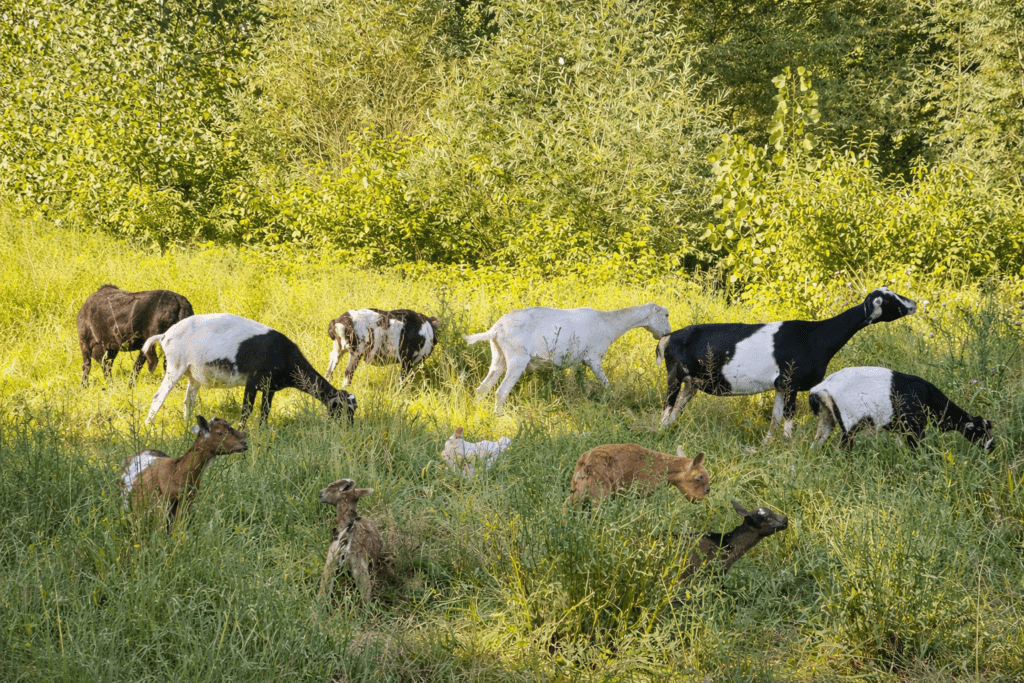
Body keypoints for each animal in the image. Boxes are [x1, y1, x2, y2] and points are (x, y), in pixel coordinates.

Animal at [142, 313, 356, 426]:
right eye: (343, 409)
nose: (349, 428)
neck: (284, 355)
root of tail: (164, 335)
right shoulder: (252, 381)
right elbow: (246, 409)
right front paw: (242, 431)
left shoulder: (270, 387)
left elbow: (265, 411)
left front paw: (263, 431)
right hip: (175, 365)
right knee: (159, 396)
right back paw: (148, 425)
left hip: (193, 374)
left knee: (188, 400)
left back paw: (187, 425)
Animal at [464, 303, 672, 413]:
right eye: (666, 314)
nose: (668, 332)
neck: (607, 324)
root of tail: (495, 330)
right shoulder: (593, 358)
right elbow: (605, 383)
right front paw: (612, 400)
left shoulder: (577, 362)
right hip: (517, 358)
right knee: (501, 391)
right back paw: (498, 415)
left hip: (499, 356)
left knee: (482, 389)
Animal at [564, 443, 709, 511]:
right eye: (699, 477)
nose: (707, 491)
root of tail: (584, 463)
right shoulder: (634, 490)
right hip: (601, 492)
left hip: (579, 488)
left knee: (567, 505)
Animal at [657, 287, 917, 440]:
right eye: (890, 299)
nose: (913, 304)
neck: (814, 336)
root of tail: (668, 337)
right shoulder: (792, 382)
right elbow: (788, 418)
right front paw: (788, 445)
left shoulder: (781, 386)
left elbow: (774, 418)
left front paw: (766, 445)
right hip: (674, 377)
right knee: (667, 407)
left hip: (691, 383)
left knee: (676, 409)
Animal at [809, 366, 995, 450]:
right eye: (980, 432)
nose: (991, 448)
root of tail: (821, 388)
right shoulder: (913, 425)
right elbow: (918, 447)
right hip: (850, 421)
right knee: (843, 447)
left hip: (827, 417)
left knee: (817, 441)